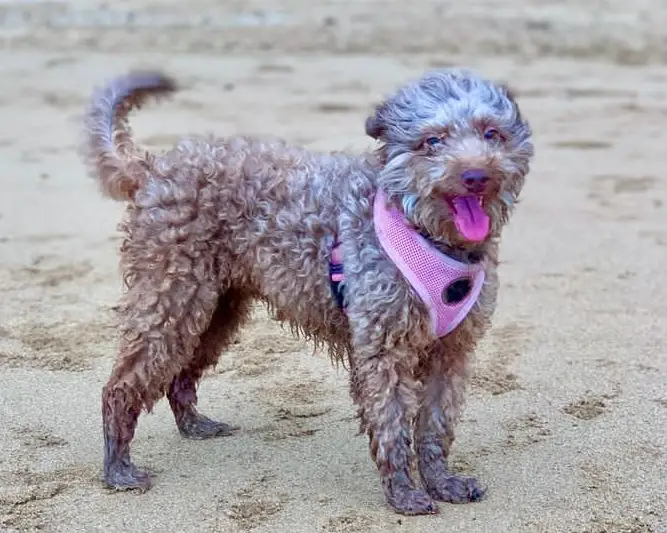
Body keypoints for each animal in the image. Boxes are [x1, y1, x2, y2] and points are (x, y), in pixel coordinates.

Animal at [81, 64, 536, 512]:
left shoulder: (451, 352)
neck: (422, 228)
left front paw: (442, 483)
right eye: (432, 141)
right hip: (171, 298)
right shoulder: (382, 348)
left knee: (181, 372)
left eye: (492, 133)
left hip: (216, 308)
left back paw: (195, 425)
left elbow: (436, 426)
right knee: (120, 386)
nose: (476, 176)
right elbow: (391, 424)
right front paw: (405, 493)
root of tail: (153, 169)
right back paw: (119, 470)